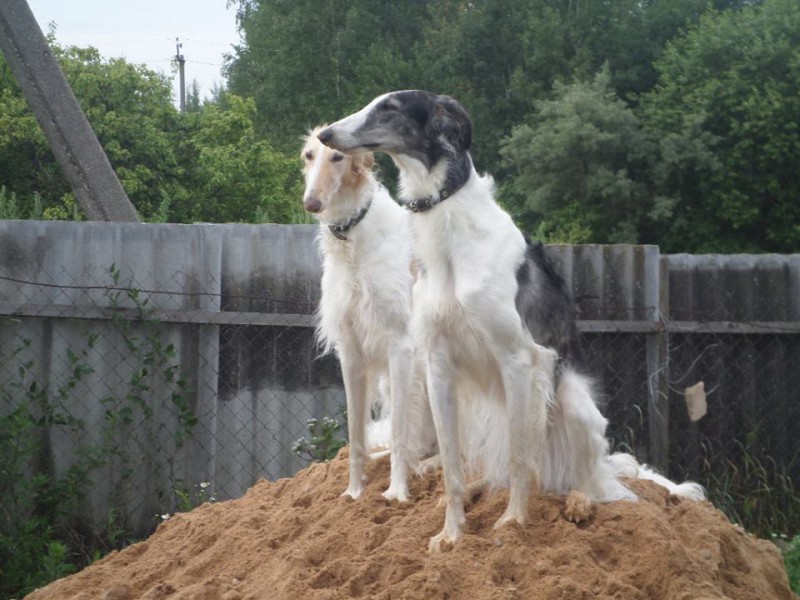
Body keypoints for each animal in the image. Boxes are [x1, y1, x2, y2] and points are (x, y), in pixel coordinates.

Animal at [302, 130, 434, 502]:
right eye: (308, 155)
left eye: (337, 157)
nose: (311, 202)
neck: (353, 240)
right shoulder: (350, 350)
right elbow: (356, 435)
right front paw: (354, 492)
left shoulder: (400, 345)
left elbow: (401, 433)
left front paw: (396, 492)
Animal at [318, 91, 700, 552]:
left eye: (390, 107)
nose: (325, 134)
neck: (452, 244)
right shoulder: (438, 366)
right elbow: (452, 469)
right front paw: (451, 534)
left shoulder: (519, 359)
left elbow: (521, 462)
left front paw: (513, 524)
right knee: (501, 471)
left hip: (571, 403)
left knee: (593, 485)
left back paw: (577, 502)